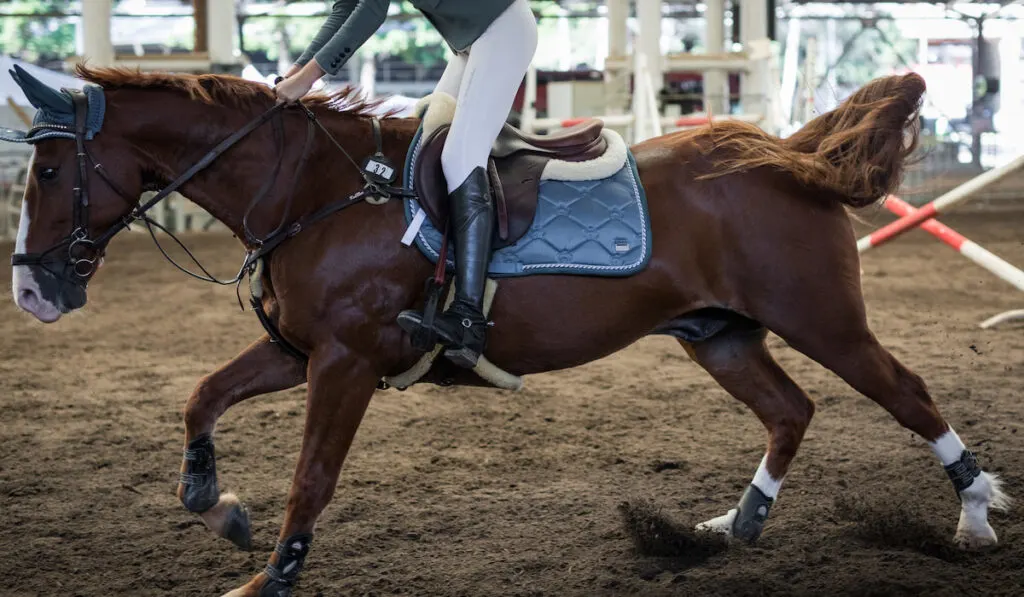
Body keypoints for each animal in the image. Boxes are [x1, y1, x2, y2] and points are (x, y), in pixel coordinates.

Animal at [8, 66, 1007, 597]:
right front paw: (214, 503)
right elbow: (200, 396)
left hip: (821, 318)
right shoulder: (300, 351)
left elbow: (312, 478)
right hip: (719, 334)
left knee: (906, 393)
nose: (30, 290)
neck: (315, 192)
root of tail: (787, 154)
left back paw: (974, 514)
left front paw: (273, 576)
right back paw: (737, 522)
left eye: (50, 169)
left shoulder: (346, 362)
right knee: (790, 409)